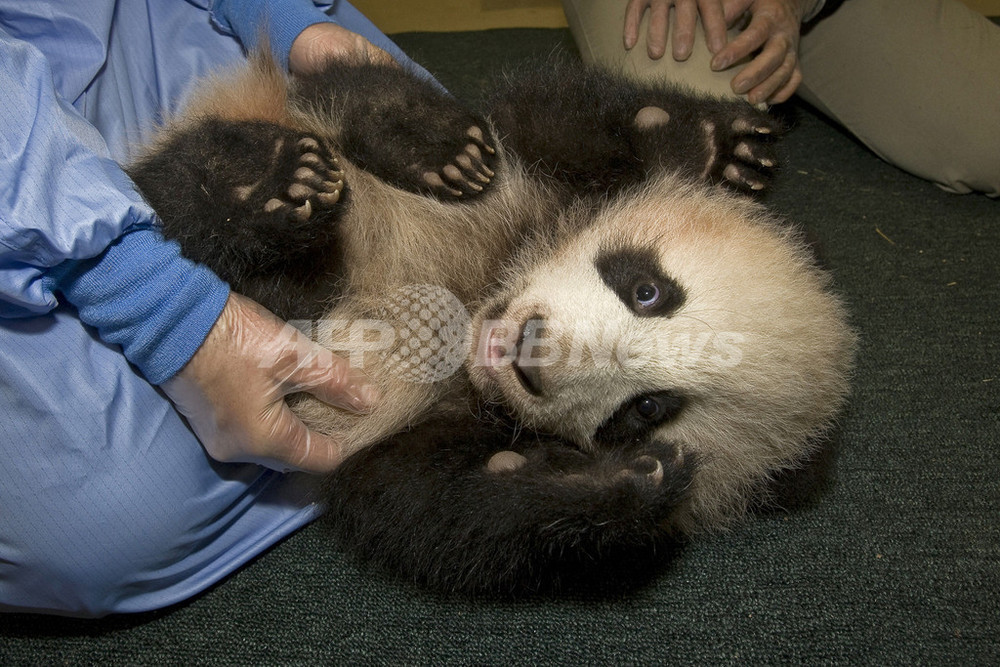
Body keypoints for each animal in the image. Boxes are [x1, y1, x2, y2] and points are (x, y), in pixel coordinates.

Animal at [129, 54, 856, 592]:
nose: (531, 356)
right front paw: (709, 142)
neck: (482, 295)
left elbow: (438, 507)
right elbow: (524, 112)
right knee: (195, 180)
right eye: (647, 291)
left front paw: (619, 484)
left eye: (648, 409)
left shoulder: (402, 434)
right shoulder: (539, 162)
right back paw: (265, 179)